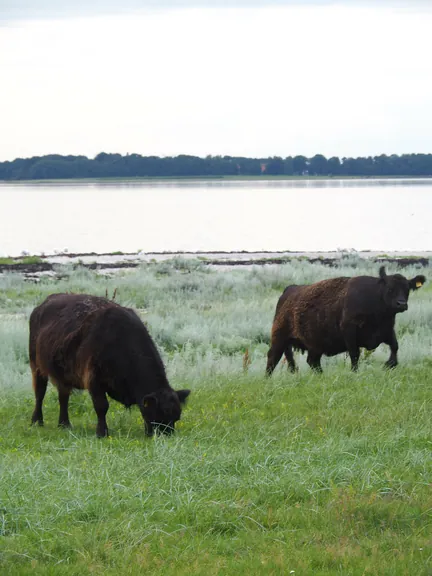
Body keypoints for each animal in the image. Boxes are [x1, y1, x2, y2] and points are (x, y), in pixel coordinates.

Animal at [30, 292, 191, 436]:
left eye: (176, 417)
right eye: (160, 414)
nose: (167, 435)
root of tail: (41, 306)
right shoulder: (94, 380)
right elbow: (102, 406)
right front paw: (102, 432)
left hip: (63, 376)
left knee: (63, 397)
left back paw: (64, 424)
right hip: (37, 367)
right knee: (40, 393)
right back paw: (37, 421)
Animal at [266, 268, 426, 376]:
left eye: (407, 289)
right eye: (390, 288)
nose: (401, 304)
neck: (374, 296)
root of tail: (289, 290)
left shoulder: (386, 331)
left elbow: (395, 346)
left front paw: (388, 365)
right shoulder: (349, 331)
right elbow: (355, 354)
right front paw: (355, 373)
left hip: (315, 346)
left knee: (312, 361)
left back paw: (321, 376)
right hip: (280, 339)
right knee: (273, 358)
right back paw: (267, 379)